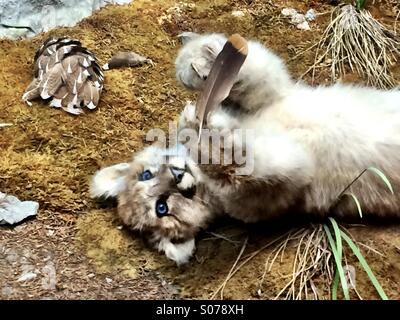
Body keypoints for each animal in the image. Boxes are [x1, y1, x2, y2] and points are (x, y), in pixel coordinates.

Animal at [90, 32, 400, 264]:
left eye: (146, 174)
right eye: (161, 208)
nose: (177, 176)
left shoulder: (273, 93)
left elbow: (258, 70)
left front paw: (202, 58)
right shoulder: (286, 181)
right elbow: (242, 167)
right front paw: (204, 141)